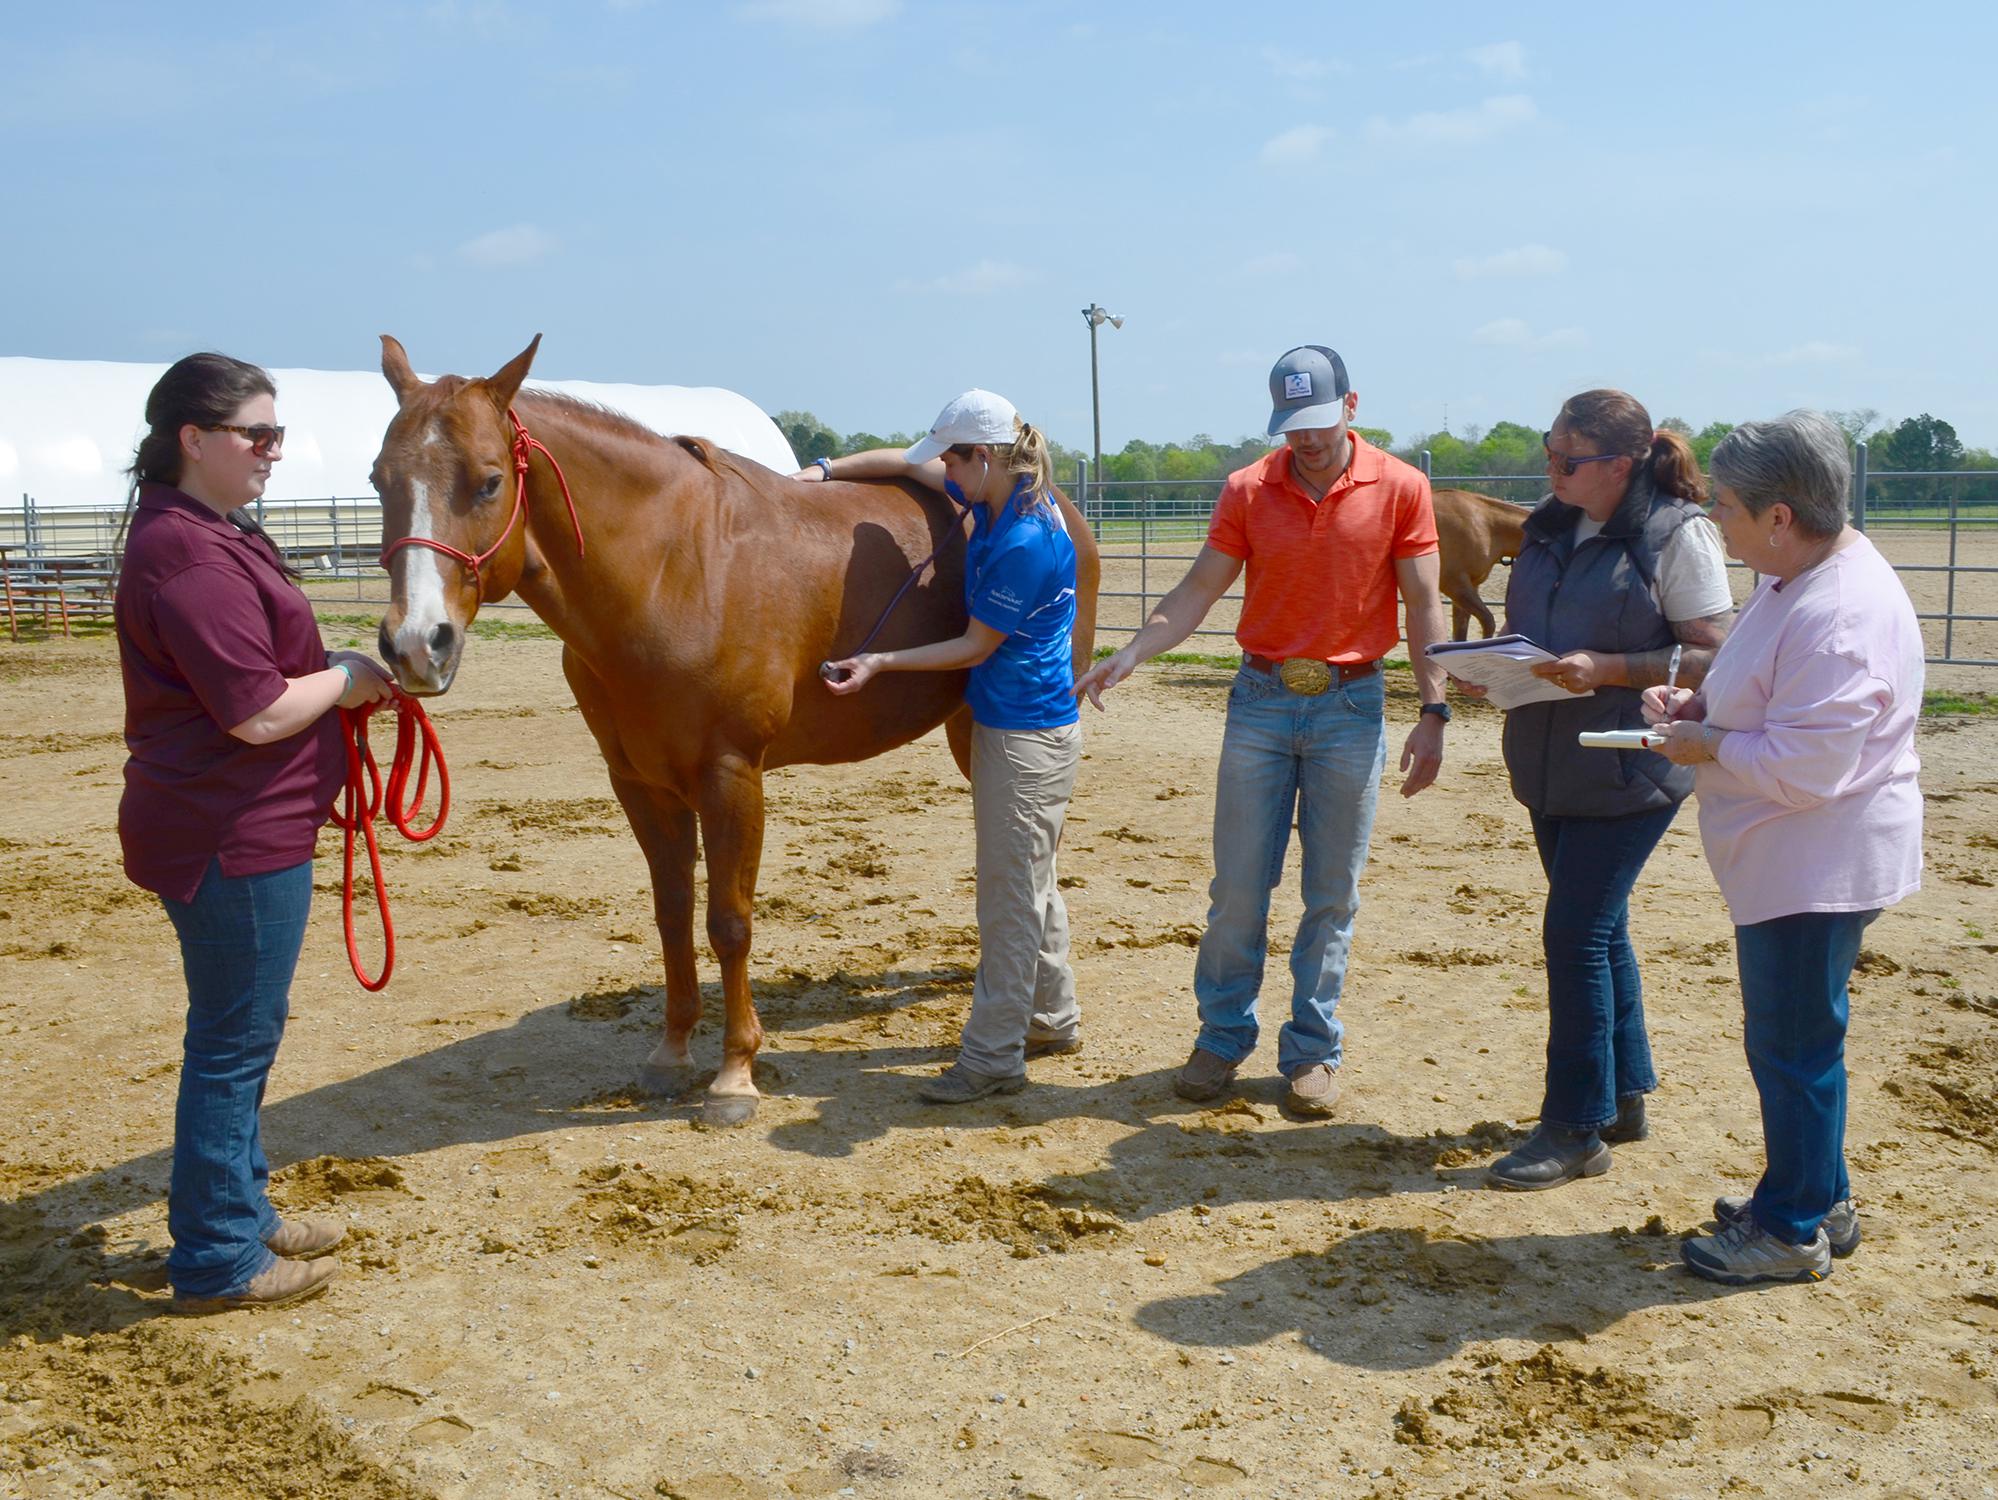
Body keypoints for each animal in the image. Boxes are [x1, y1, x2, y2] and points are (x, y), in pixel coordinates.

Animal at [375, 333, 1110, 1118]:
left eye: (488, 483)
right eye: (379, 480)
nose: (416, 644)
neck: (674, 570)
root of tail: (1057, 508)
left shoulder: (731, 776)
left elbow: (728, 922)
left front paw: (734, 1074)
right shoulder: (640, 785)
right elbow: (673, 915)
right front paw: (671, 1054)